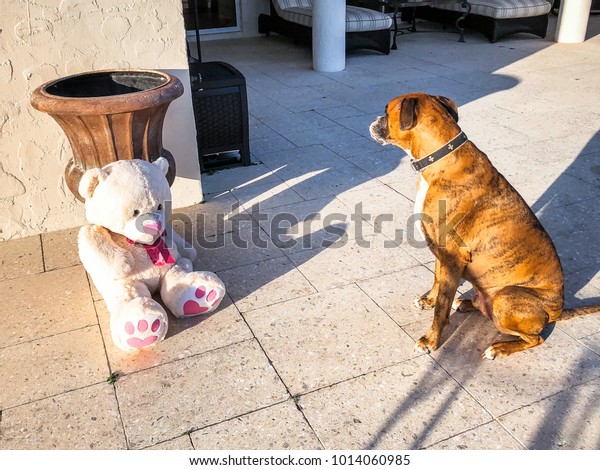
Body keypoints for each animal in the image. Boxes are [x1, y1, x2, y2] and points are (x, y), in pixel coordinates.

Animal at [370, 92, 600, 360]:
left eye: (387, 111)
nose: (374, 121)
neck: (439, 159)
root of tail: (558, 310)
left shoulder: (452, 257)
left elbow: (442, 309)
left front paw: (430, 340)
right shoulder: (441, 252)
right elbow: (437, 279)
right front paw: (429, 300)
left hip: (505, 298)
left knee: (537, 338)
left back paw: (500, 347)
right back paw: (466, 303)